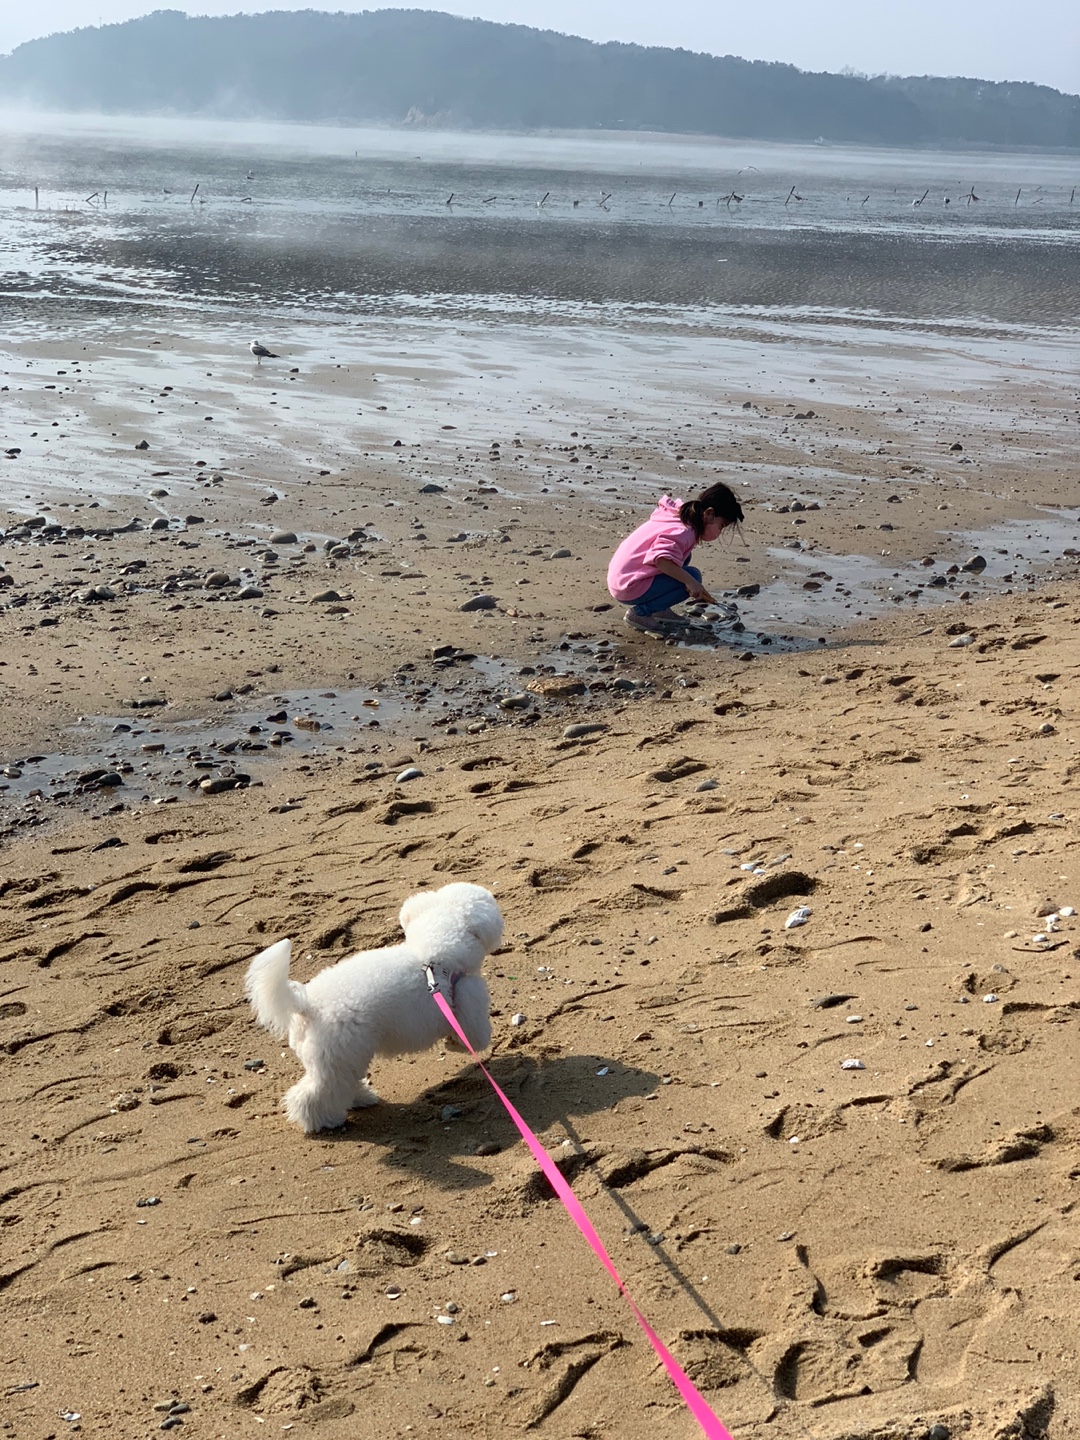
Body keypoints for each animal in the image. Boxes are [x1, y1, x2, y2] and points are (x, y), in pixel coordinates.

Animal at [244, 881, 504, 1128]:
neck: (432, 955)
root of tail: (307, 1004)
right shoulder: (469, 998)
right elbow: (475, 1038)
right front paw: (455, 1044)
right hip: (337, 1059)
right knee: (313, 1095)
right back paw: (326, 1121)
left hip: (342, 1059)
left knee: (342, 1085)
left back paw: (361, 1098)